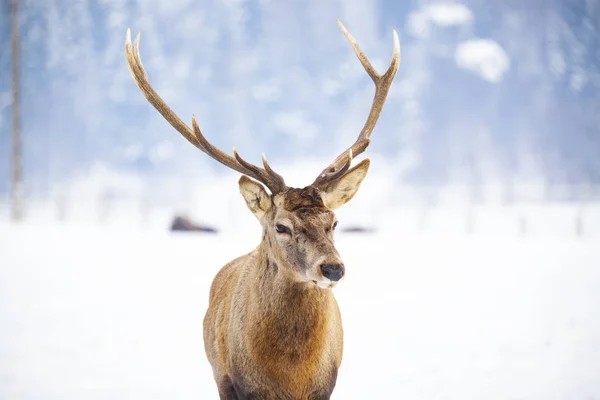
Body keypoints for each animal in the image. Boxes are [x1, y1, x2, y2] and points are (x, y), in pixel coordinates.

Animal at [124, 19, 400, 400]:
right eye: (281, 226)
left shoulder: (326, 386)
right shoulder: (237, 384)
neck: (291, 376)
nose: (333, 268)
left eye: (334, 221)